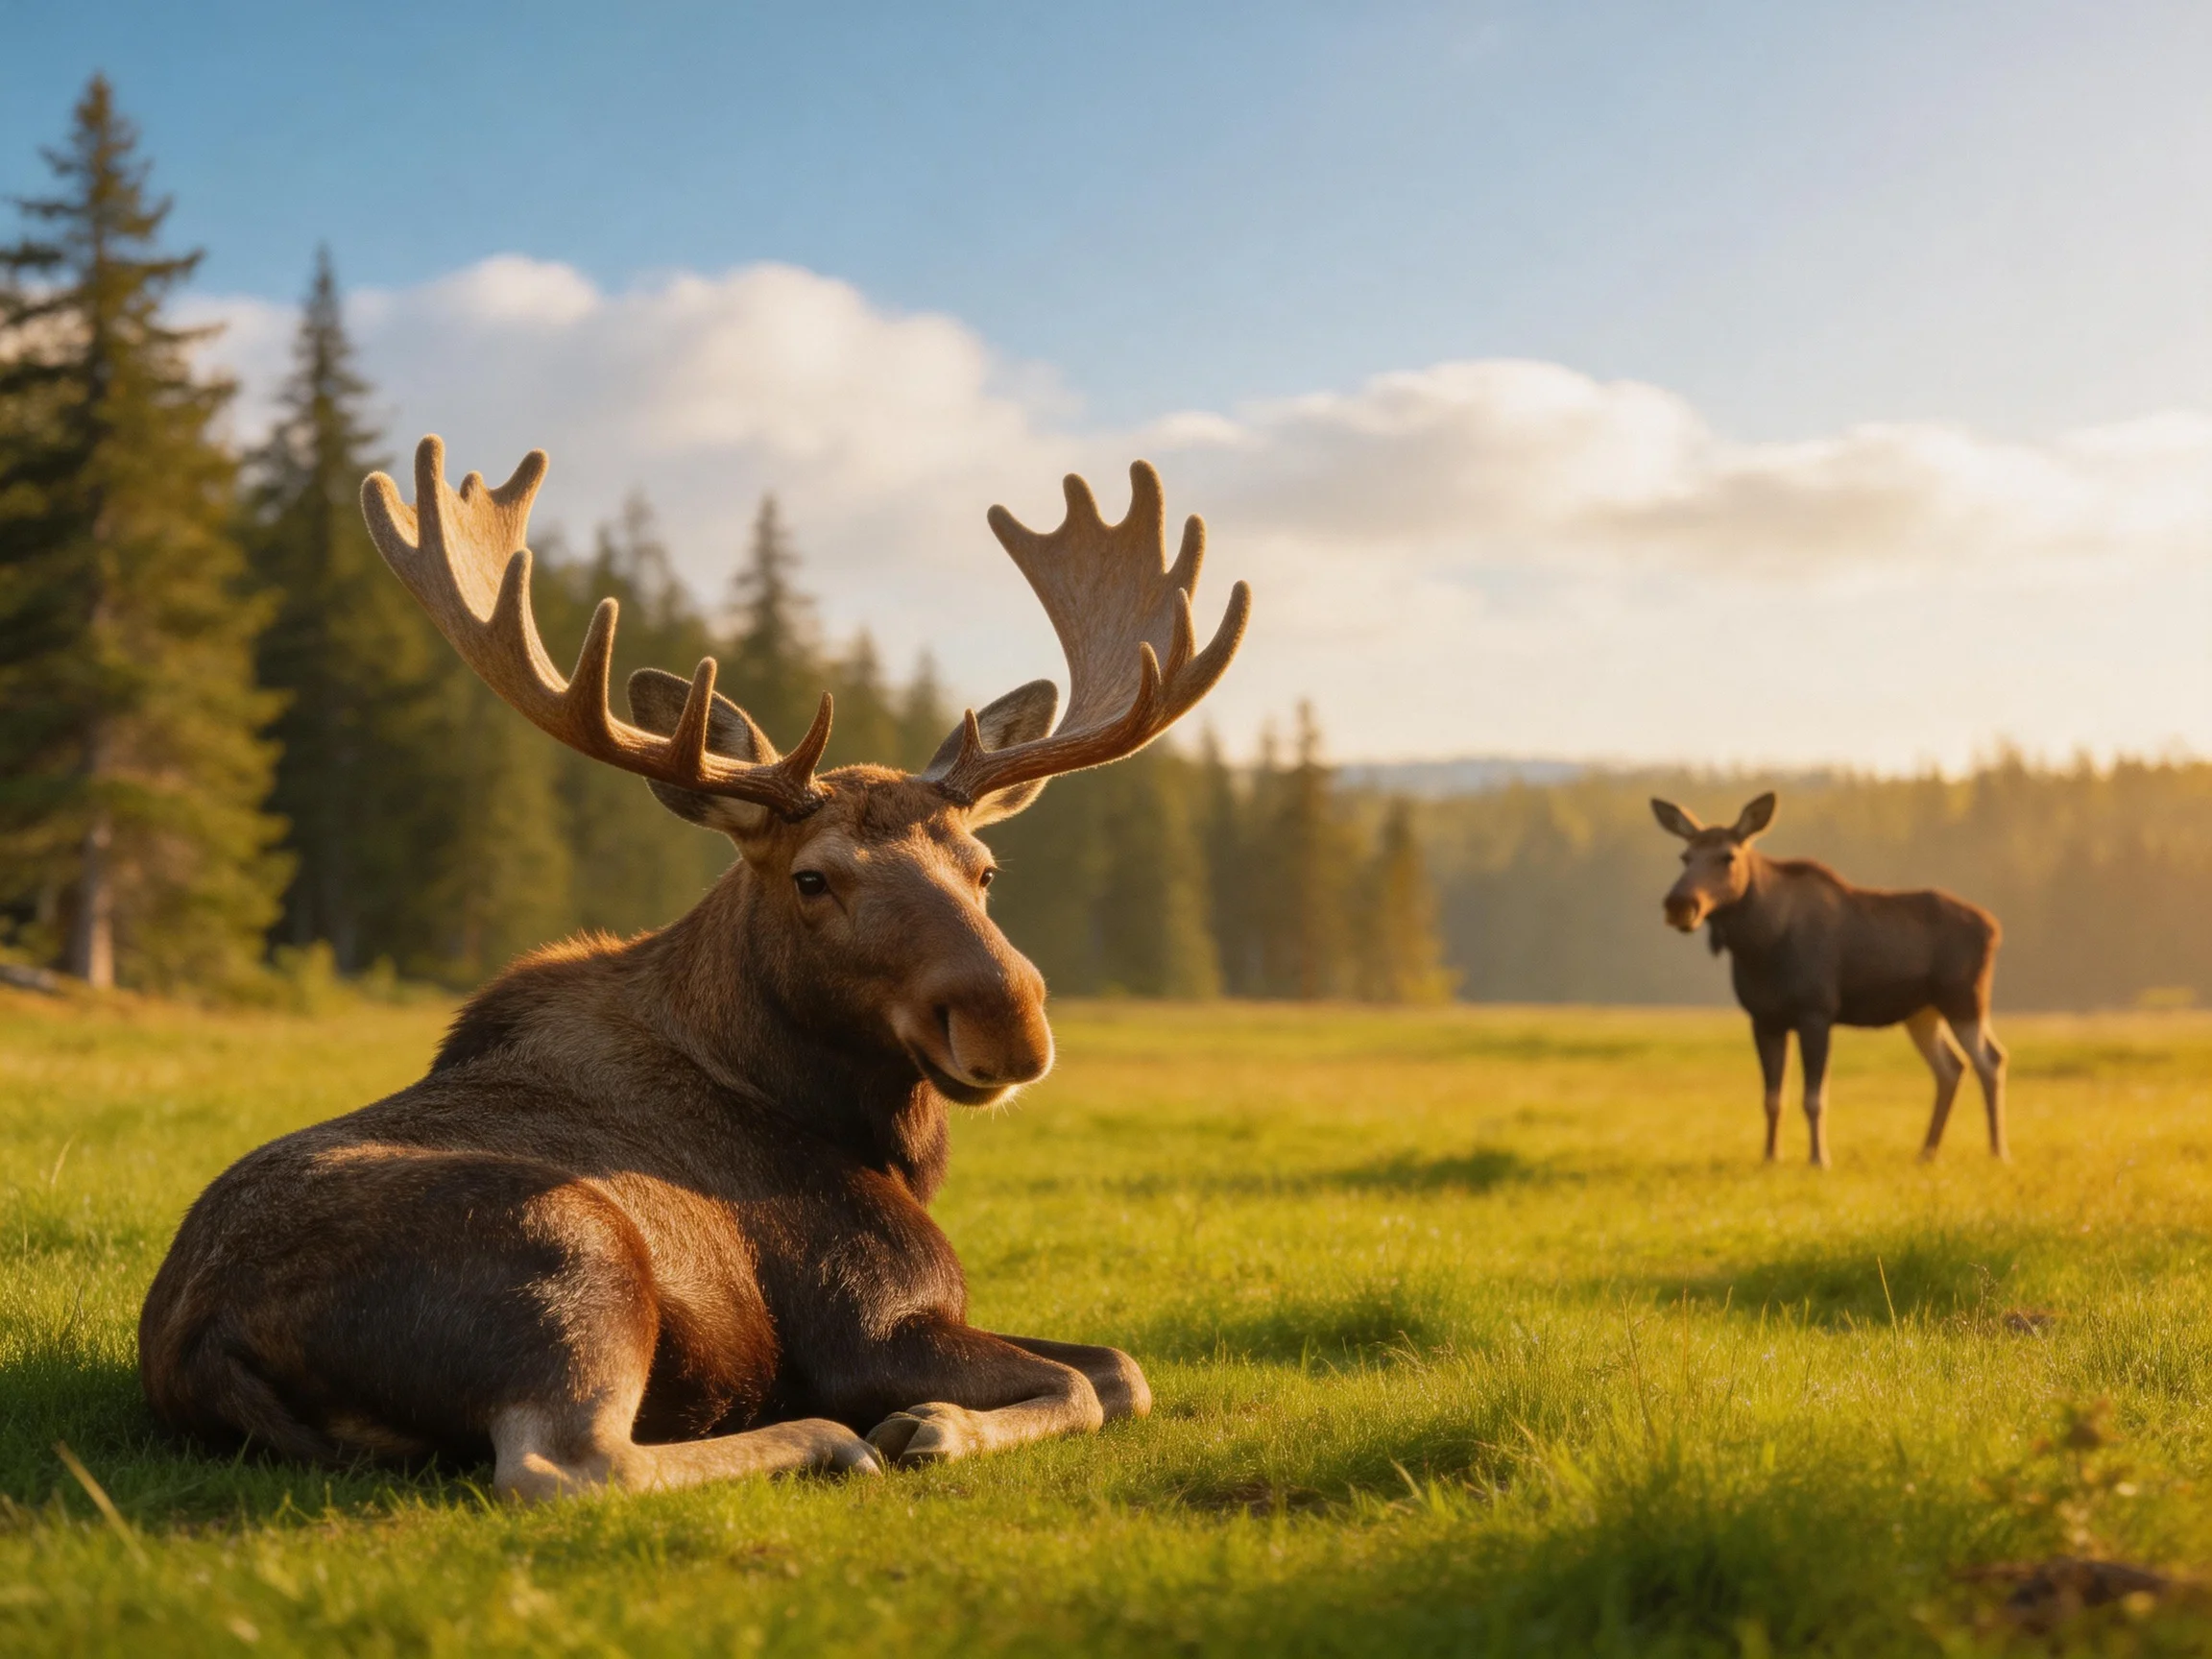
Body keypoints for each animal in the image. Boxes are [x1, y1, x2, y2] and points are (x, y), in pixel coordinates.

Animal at [139, 436, 1250, 1500]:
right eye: (813, 878)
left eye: (985, 869)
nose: (1007, 1020)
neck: (853, 1127)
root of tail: (202, 1344)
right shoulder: (871, 1316)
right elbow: (1090, 1383)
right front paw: (931, 1426)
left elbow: (1118, 1367)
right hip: (571, 1254)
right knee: (566, 1464)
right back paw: (826, 1441)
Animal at [1652, 793, 2008, 1169]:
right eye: (1685, 857)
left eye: (1727, 856)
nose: (1679, 904)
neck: (1760, 944)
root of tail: (1994, 928)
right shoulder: (1764, 1018)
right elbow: (1772, 1098)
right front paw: (1770, 1156)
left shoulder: (1816, 1011)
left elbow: (1814, 1098)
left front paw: (1818, 1159)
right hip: (1922, 1011)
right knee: (1951, 1066)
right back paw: (1927, 1151)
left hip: (1965, 999)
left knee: (1990, 1059)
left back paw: (1997, 1152)